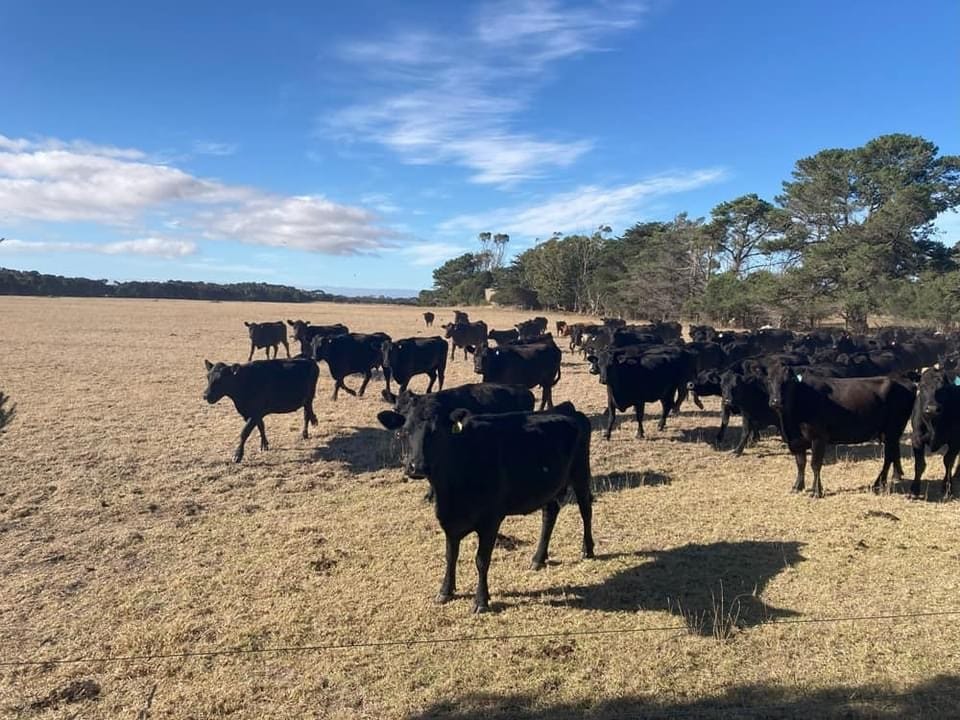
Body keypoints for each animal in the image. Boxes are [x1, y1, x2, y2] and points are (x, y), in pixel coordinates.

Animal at [378, 400, 594, 613]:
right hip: (550, 487)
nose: (417, 467)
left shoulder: (491, 519)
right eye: (404, 431)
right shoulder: (448, 520)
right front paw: (445, 591)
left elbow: (481, 560)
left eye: (437, 432)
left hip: (581, 473)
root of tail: (567, 409)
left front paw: (481, 601)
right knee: (549, 514)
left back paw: (588, 550)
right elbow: (450, 556)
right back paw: (538, 558)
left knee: (586, 510)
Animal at [767, 366, 916, 497]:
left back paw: (878, 483)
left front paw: (816, 491)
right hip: (889, 433)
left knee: (889, 456)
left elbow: (815, 465)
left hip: (892, 430)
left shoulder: (818, 438)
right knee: (892, 454)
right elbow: (800, 464)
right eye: (769, 380)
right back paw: (889, 479)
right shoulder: (796, 442)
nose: (776, 401)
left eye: (788, 382)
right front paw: (797, 487)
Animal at [911, 367, 960, 498]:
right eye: (922, 386)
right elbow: (919, 464)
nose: (932, 409)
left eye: (943, 388)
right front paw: (914, 490)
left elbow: (948, 461)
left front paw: (947, 487)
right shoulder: (916, 438)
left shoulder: (955, 441)